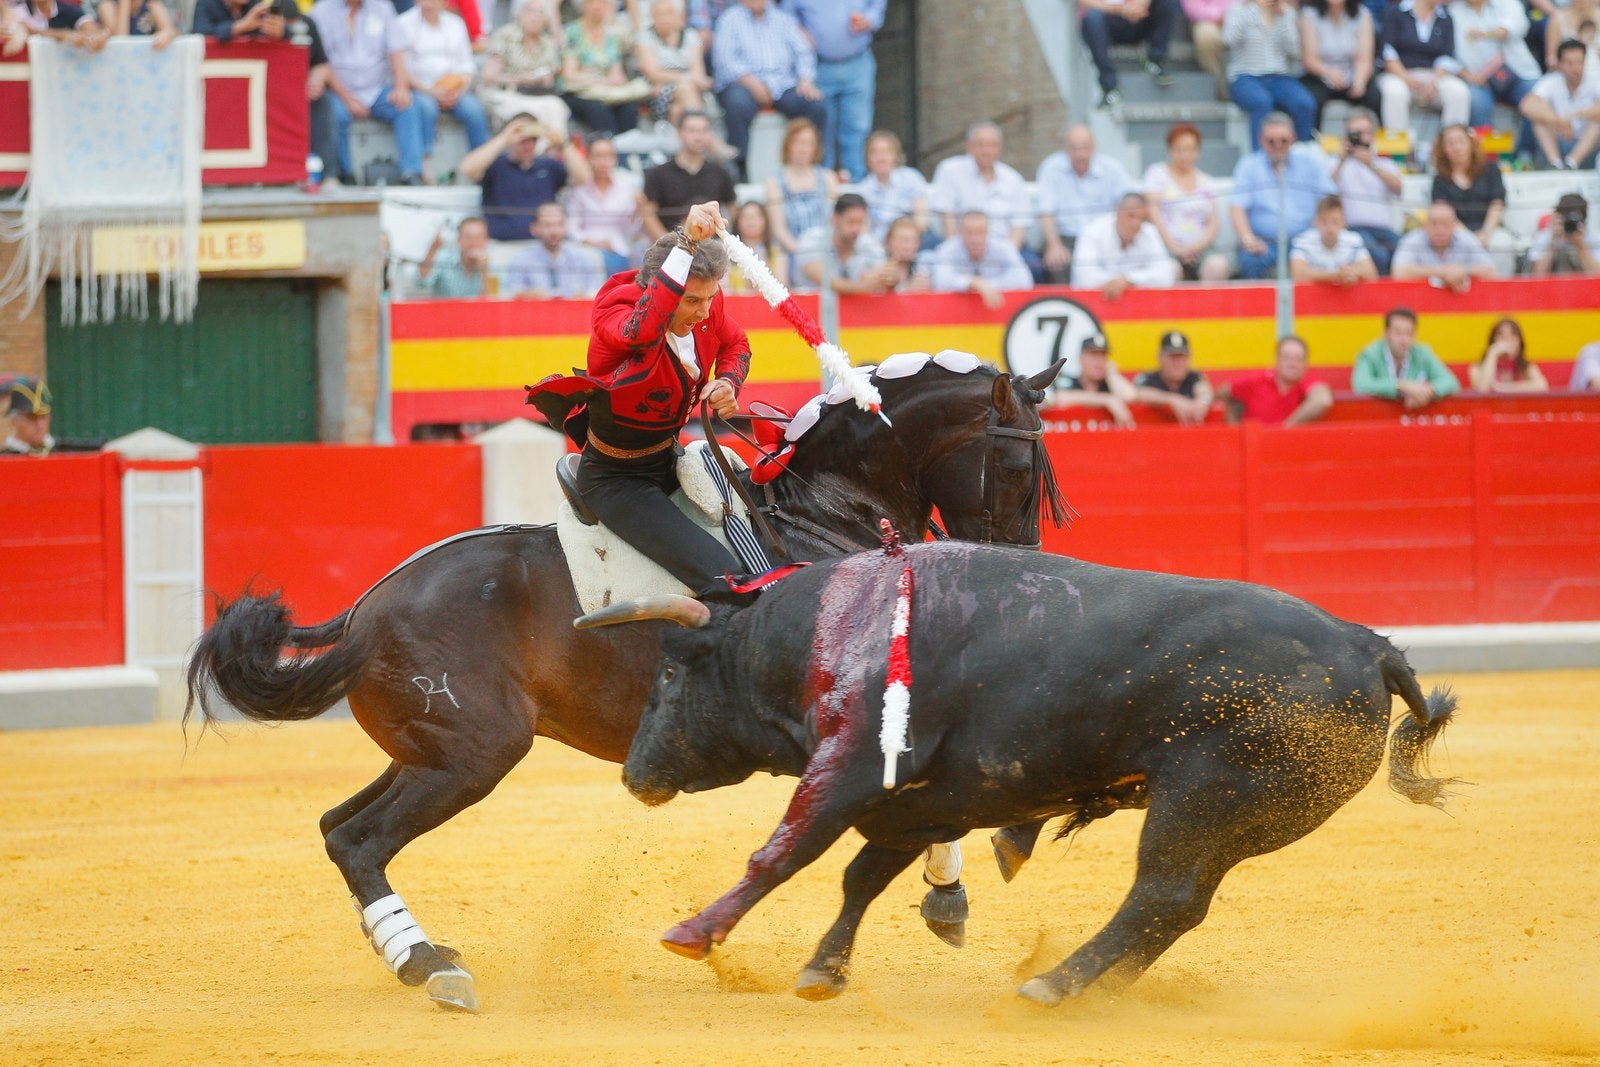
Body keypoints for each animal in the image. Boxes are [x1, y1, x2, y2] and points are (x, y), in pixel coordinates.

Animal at [184, 358, 1062, 1011]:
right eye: (1020, 463)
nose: (1024, 568)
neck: (821, 517)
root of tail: (368, 607)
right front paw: (952, 890)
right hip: (474, 754)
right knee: (364, 838)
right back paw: (432, 967)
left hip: (428, 750)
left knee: (338, 827)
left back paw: (415, 953)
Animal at [595, 547, 1459, 1004]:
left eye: (668, 674)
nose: (635, 774)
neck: (816, 634)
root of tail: (1368, 645)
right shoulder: (916, 802)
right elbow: (861, 877)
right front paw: (822, 970)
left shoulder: (845, 771)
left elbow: (783, 853)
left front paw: (692, 933)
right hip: (1243, 814)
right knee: (1179, 906)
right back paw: (1091, 986)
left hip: (1202, 798)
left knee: (1161, 893)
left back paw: (1056, 984)